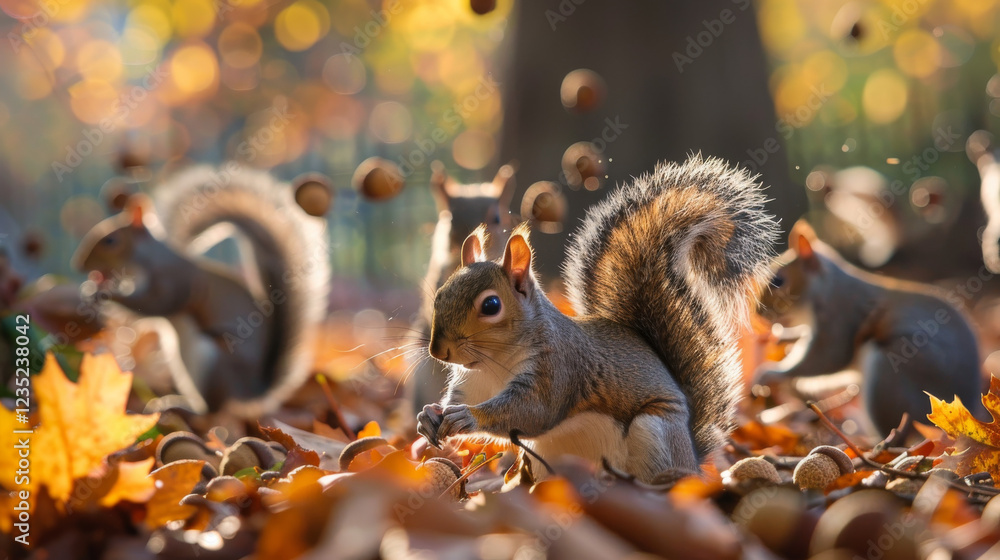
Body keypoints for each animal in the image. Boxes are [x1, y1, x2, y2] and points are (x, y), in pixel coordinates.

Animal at [71, 165, 330, 416]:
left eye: (110, 241)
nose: (79, 265)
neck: (145, 260)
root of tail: (250, 390)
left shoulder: (172, 281)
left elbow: (153, 305)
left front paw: (105, 294)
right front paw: (90, 288)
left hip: (211, 361)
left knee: (212, 410)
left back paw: (181, 406)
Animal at [754, 219, 984, 436]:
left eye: (778, 281)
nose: (758, 313)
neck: (826, 288)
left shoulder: (840, 318)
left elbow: (826, 358)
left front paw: (772, 372)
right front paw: (784, 336)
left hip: (894, 375)